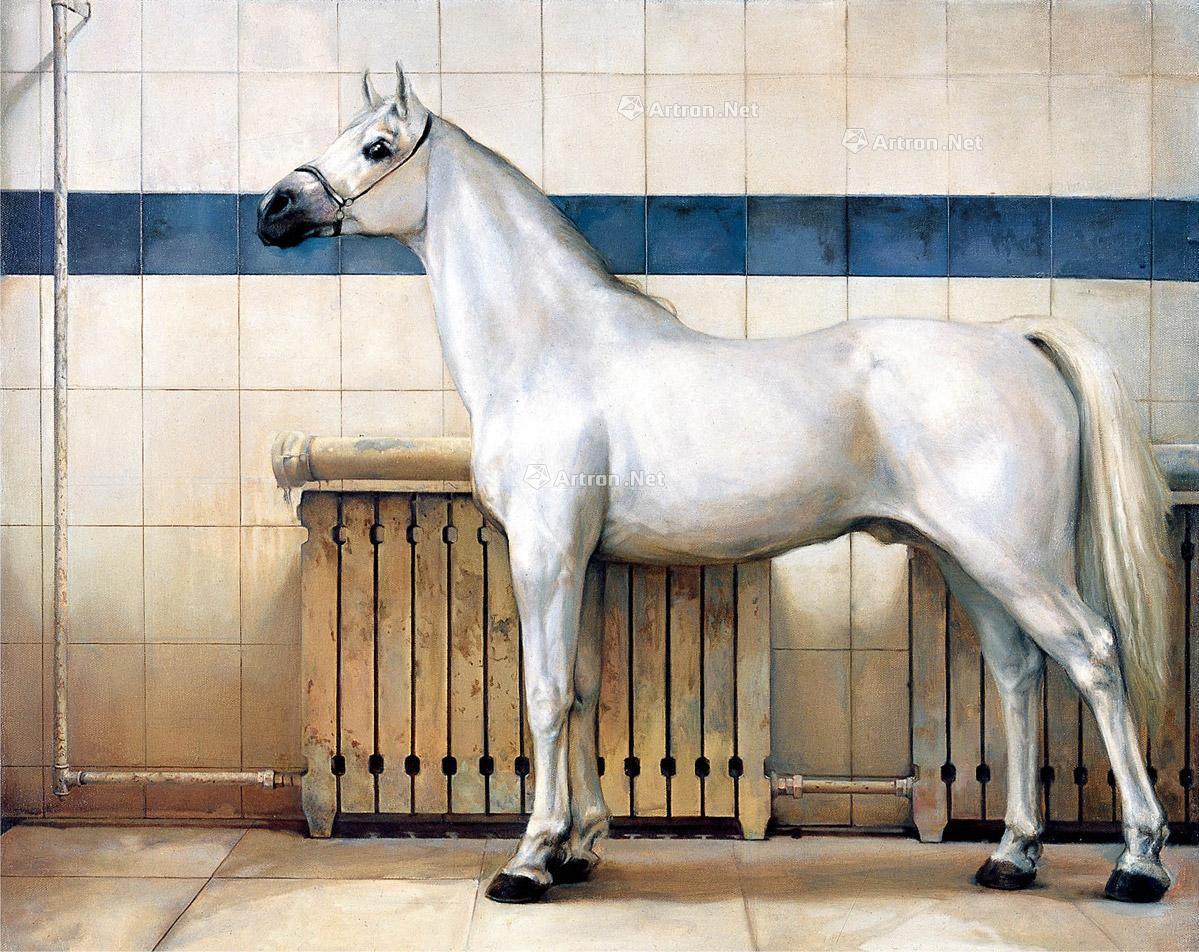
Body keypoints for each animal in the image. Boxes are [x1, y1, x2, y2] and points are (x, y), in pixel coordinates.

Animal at [258, 65, 1176, 905]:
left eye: (377, 146)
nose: (274, 210)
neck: (548, 347)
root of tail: (1012, 340)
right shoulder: (587, 561)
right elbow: (585, 695)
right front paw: (581, 848)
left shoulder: (545, 554)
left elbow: (546, 697)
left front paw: (529, 859)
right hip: (966, 562)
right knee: (1019, 675)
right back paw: (1011, 856)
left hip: (1015, 562)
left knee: (1092, 657)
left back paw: (1138, 862)